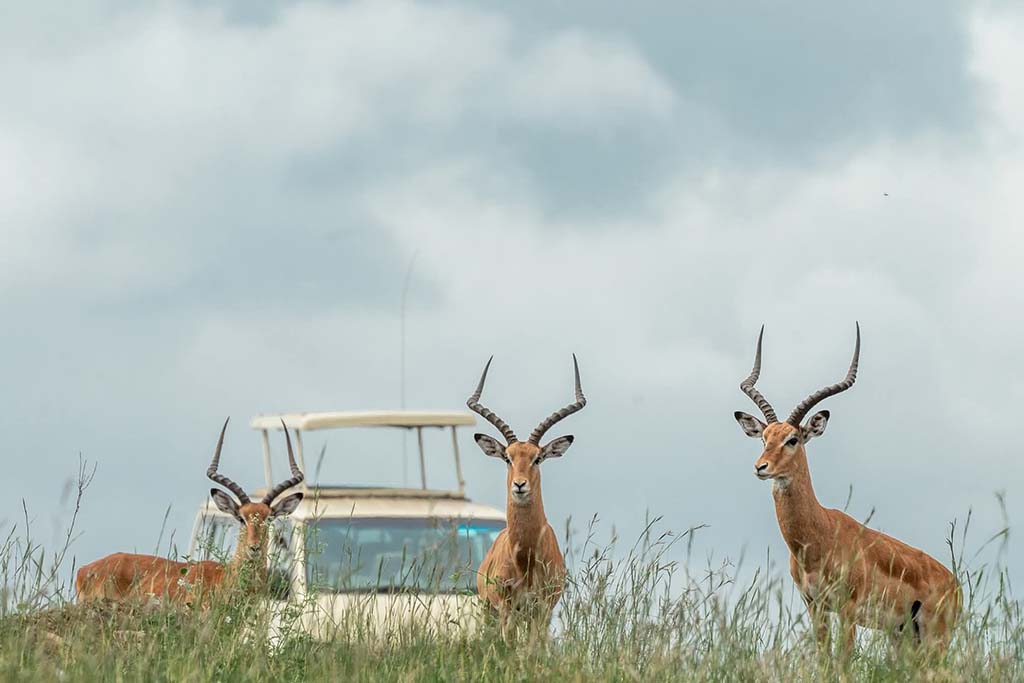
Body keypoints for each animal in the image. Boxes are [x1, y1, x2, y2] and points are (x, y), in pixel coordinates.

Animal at [468, 355, 586, 636]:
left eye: (537, 458)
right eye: (507, 457)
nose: (520, 485)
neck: (526, 559)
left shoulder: (542, 611)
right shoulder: (506, 608)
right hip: (491, 611)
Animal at [733, 325, 961, 654]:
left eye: (793, 439)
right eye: (764, 437)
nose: (761, 467)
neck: (820, 535)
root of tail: (956, 584)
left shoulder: (848, 609)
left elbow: (844, 657)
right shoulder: (815, 606)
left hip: (933, 638)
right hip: (903, 635)